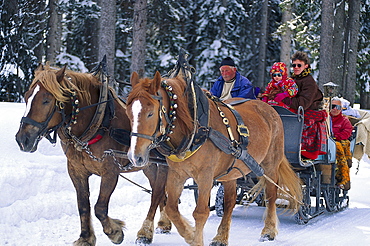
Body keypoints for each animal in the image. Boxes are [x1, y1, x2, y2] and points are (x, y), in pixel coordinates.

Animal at [14, 64, 171, 246]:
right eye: (26, 97)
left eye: (46, 100)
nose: (22, 139)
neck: (98, 123)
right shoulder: (76, 171)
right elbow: (83, 206)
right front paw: (85, 237)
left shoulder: (110, 171)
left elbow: (100, 207)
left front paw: (115, 231)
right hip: (148, 165)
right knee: (161, 195)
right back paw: (163, 224)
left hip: (162, 165)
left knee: (157, 194)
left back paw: (146, 232)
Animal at [125, 70, 302, 245]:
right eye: (128, 113)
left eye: (150, 113)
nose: (135, 157)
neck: (194, 130)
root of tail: (269, 109)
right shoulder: (176, 174)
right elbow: (171, 208)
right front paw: (190, 234)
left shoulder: (205, 176)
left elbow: (200, 212)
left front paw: (196, 240)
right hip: (231, 172)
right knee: (230, 202)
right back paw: (220, 237)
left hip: (270, 164)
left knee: (271, 194)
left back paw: (268, 231)